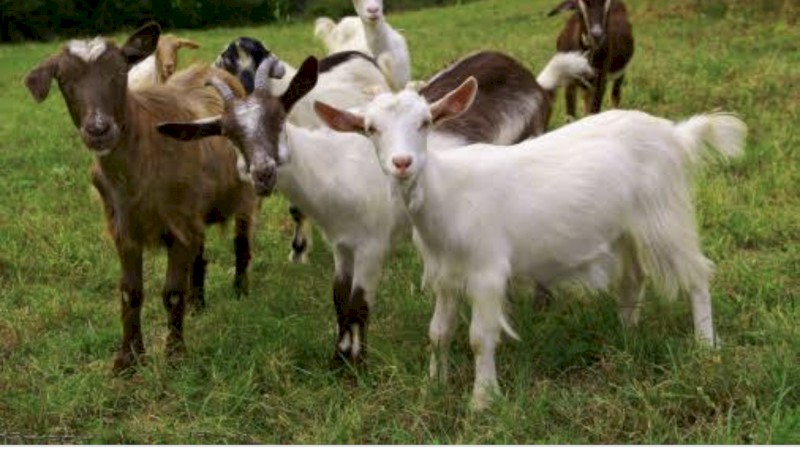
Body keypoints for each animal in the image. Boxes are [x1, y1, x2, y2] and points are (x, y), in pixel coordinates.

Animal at [24, 22, 257, 373]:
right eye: (63, 80)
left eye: (120, 72)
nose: (99, 129)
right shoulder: (124, 227)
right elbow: (130, 292)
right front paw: (127, 359)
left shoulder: (178, 222)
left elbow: (171, 292)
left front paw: (175, 355)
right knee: (200, 256)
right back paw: (198, 304)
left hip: (243, 194)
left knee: (241, 242)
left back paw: (241, 290)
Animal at [157, 50, 591, 366]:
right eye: (227, 132)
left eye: (279, 116)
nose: (262, 172)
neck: (333, 168)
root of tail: (535, 81)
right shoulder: (342, 244)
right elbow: (338, 299)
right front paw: (339, 360)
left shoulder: (372, 244)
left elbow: (359, 304)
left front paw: (357, 365)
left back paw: (540, 304)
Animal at [314, 78, 746, 409]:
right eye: (371, 129)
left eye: (426, 122)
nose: (402, 163)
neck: (447, 194)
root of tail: (675, 134)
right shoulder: (445, 274)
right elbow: (438, 331)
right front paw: (433, 385)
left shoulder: (487, 269)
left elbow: (479, 337)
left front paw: (482, 401)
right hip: (626, 228)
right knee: (633, 278)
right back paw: (627, 334)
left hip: (664, 214)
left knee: (697, 274)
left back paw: (706, 345)